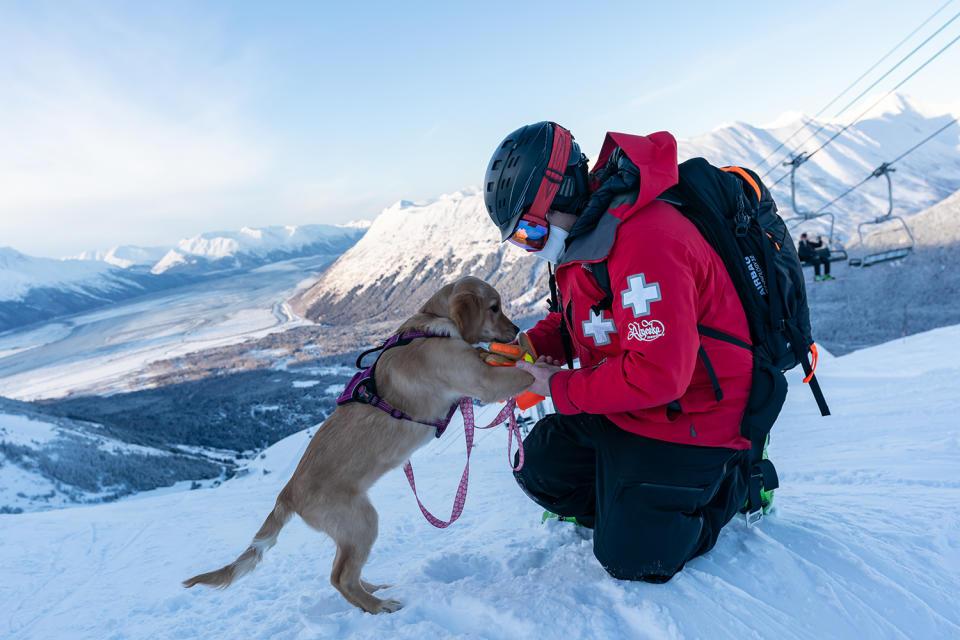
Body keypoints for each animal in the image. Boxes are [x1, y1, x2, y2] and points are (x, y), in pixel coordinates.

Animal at [184, 276, 536, 616]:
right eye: (494, 307)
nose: (516, 329)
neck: (430, 327)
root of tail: (287, 493)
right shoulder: (483, 381)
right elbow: (526, 375)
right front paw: (546, 365)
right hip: (362, 521)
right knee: (340, 577)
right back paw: (378, 606)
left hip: (351, 530)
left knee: (345, 570)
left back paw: (372, 591)